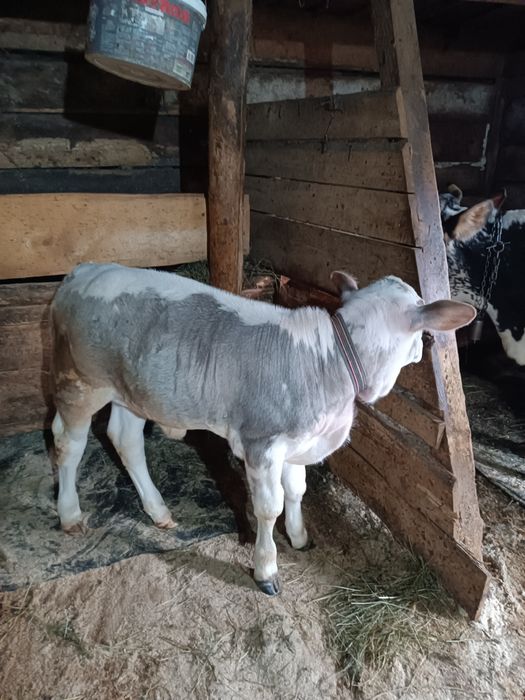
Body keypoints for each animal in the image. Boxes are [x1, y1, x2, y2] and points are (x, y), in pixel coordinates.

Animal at [51, 263, 475, 595]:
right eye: (425, 334)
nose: (422, 352)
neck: (333, 357)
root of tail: (85, 270)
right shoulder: (262, 444)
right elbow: (269, 508)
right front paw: (266, 569)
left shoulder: (298, 441)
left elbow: (297, 490)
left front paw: (299, 537)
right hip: (81, 382)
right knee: (68, 443)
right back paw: (69, 514)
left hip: (133, 392)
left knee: (125, 441)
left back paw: (158, 512)